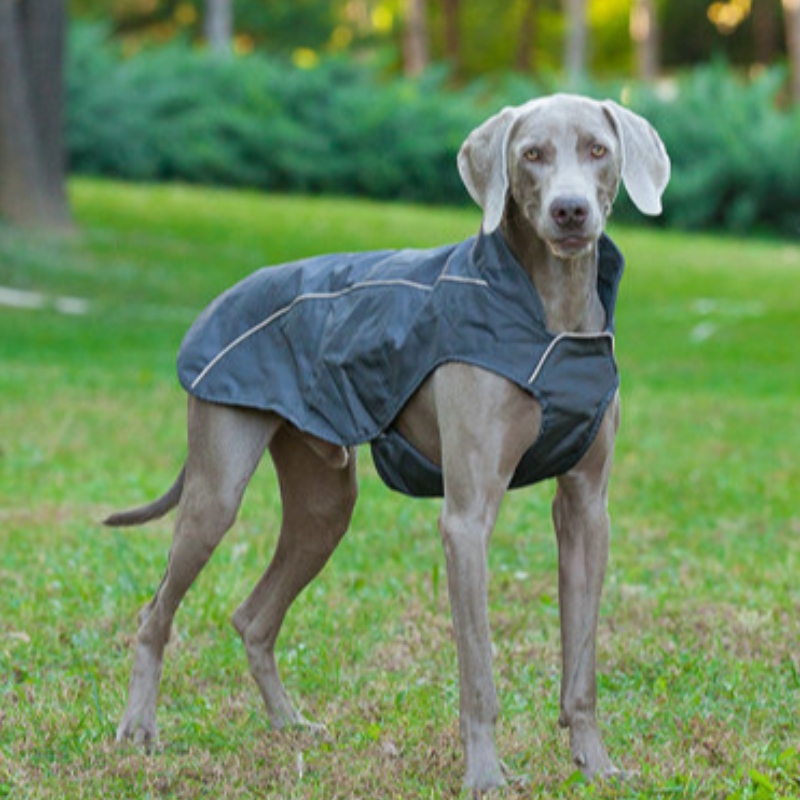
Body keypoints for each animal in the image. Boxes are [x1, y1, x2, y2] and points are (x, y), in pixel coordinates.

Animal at [106, 95, 668, 792]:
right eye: (531, 154)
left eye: (597, 149)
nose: (570, 212)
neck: (551, 316)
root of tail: (225, 294)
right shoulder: (466, 520)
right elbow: (478, 674)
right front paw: (486, 776)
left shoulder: (588, 510)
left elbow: (582, 668)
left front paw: (596, 764)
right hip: (217, 491)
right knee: (156, 612)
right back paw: (138, 728)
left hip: (324, 505)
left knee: (253, 617)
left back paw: (290, 724)